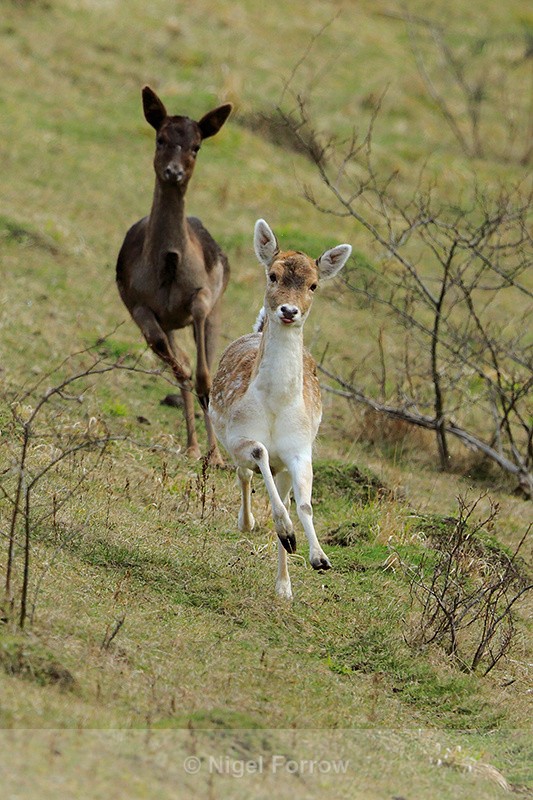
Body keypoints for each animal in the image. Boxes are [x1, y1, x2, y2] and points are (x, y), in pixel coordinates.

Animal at [116, 86, 232, 465]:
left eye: (196, 145)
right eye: (161, 138)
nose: (174, 172)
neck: (168, 264)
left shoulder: (204, 296)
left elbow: (205, 377)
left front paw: (216, 457)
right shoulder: (140, 307)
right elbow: (178, 365)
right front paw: (198, 449)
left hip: (216, 315)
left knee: (210, 369)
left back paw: (212, 452)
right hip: (169, 324)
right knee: (180, 363)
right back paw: (193, 446)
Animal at [209, 219, 351, 598]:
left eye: (314, 284)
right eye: (272, 275)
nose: (289, 311)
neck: (275, 406)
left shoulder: (300, 449)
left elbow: (305, 503)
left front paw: (319, 557)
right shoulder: (240, 436)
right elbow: (258, 452)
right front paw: (286, 532)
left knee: (284, 494)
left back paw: (284, 586)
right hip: (229, 441)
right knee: (245, 474)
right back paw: (247, 522)